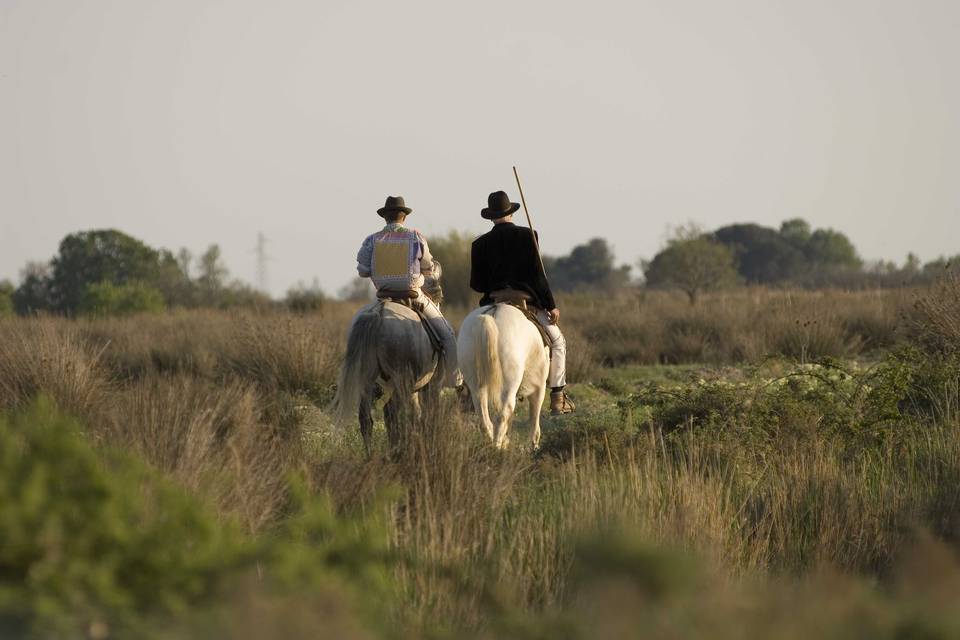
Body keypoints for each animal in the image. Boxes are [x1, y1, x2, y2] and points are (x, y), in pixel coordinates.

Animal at [458, 302, 548, 448]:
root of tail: (492, 314)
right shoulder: (539, 388)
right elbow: (535, 417)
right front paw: (533, 445)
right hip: (509, 386)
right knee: (503, 414)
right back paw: (498, 446)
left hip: (476, 385)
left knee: (483, 416)